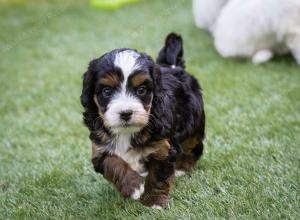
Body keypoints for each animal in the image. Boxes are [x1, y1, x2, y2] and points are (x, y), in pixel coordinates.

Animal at [81, 32, 205, 208]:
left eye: (141, 90)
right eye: (107, 91)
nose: (126, 113)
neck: (127, 131)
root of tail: (174, 66)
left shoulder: (163, 147)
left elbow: (159, 177)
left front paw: (155, 202)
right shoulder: (99, 149)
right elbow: (112, 163)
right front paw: (134, 186)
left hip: (193, 123)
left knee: (194, 146)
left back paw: (182, 167)